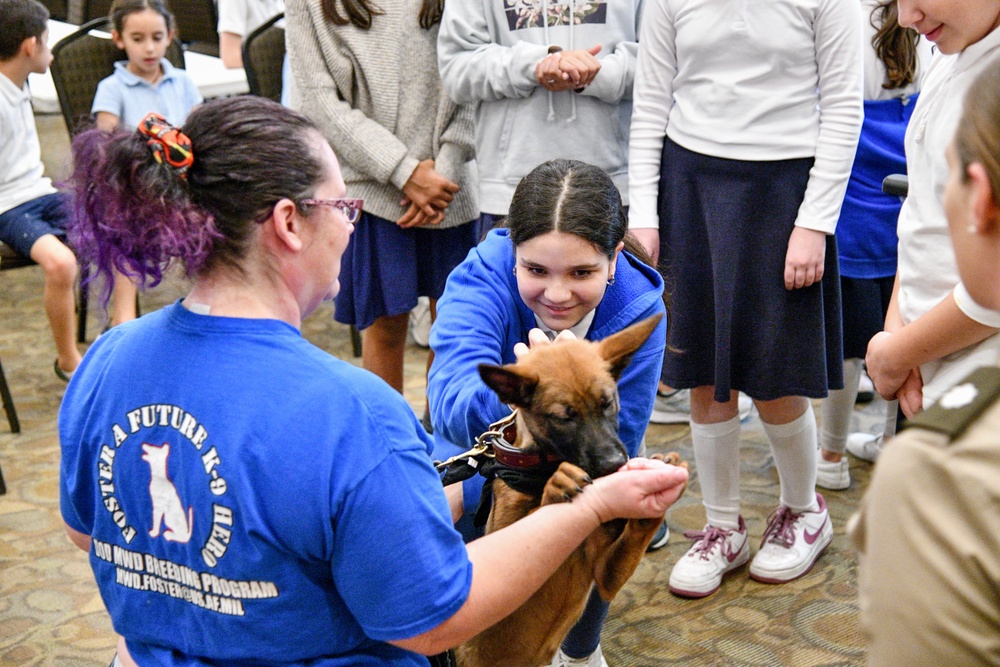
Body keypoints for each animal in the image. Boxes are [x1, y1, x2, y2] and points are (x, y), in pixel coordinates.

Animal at [456, 314, 684, 667]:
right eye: (564, 418)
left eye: (608, 403)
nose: (615, 463)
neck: (540, 472)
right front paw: (559, 484)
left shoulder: (606, 575)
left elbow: (634, 533)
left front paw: (656, 489)